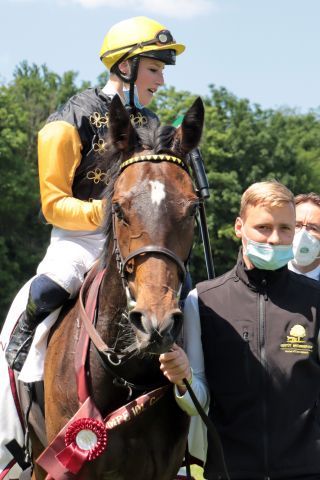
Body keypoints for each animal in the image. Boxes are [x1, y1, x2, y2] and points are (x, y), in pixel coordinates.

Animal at [31, 94, 205, 480]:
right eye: (119, 208)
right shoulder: (65, 462)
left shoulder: (161, 469)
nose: (156, 324)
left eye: (191, 210)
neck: (127, 378)